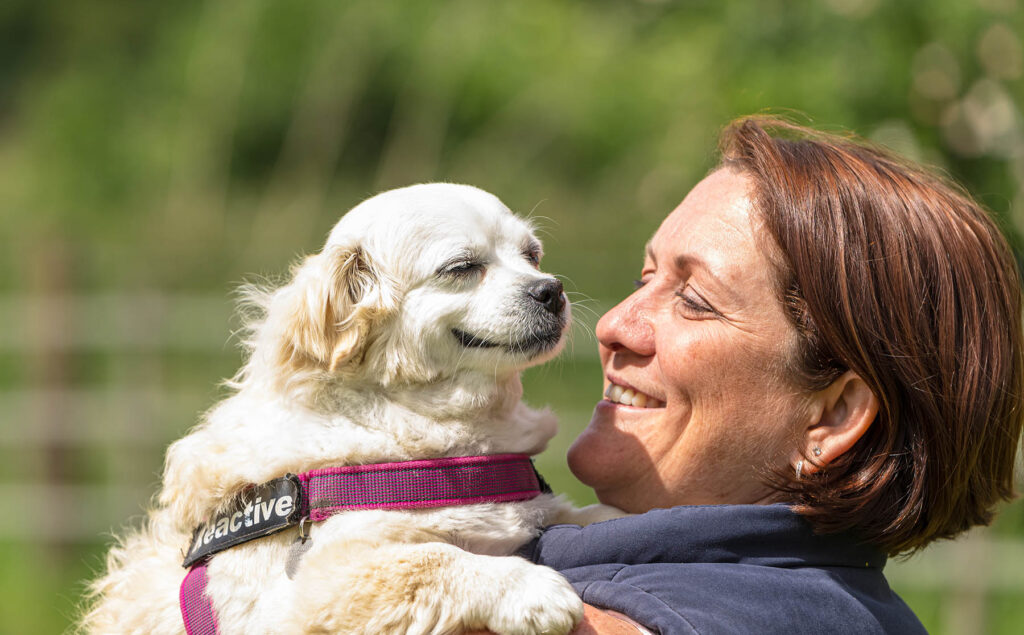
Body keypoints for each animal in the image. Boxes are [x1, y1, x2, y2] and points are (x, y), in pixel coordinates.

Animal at [79, 183, 618, 635]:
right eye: (463, 267)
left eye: (533, 255)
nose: (551, 288)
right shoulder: (303, 591)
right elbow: (425, 560)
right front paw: (530, 588)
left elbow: (588, 514)